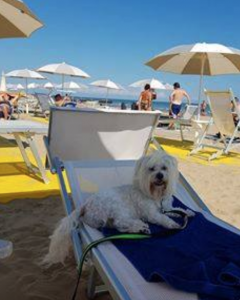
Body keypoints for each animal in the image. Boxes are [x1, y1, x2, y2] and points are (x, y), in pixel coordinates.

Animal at [44, 151, 193, 264]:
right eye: (151, 169)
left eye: (164, 168)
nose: (160, 175)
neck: (155, 195)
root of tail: (85, 204)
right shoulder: (152, 214)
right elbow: (163, 218)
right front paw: (173, 224)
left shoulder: (166, 206)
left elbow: (175, 210)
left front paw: (187, 212)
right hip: (117, 207)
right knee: (119, 223)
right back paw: (140, 226)